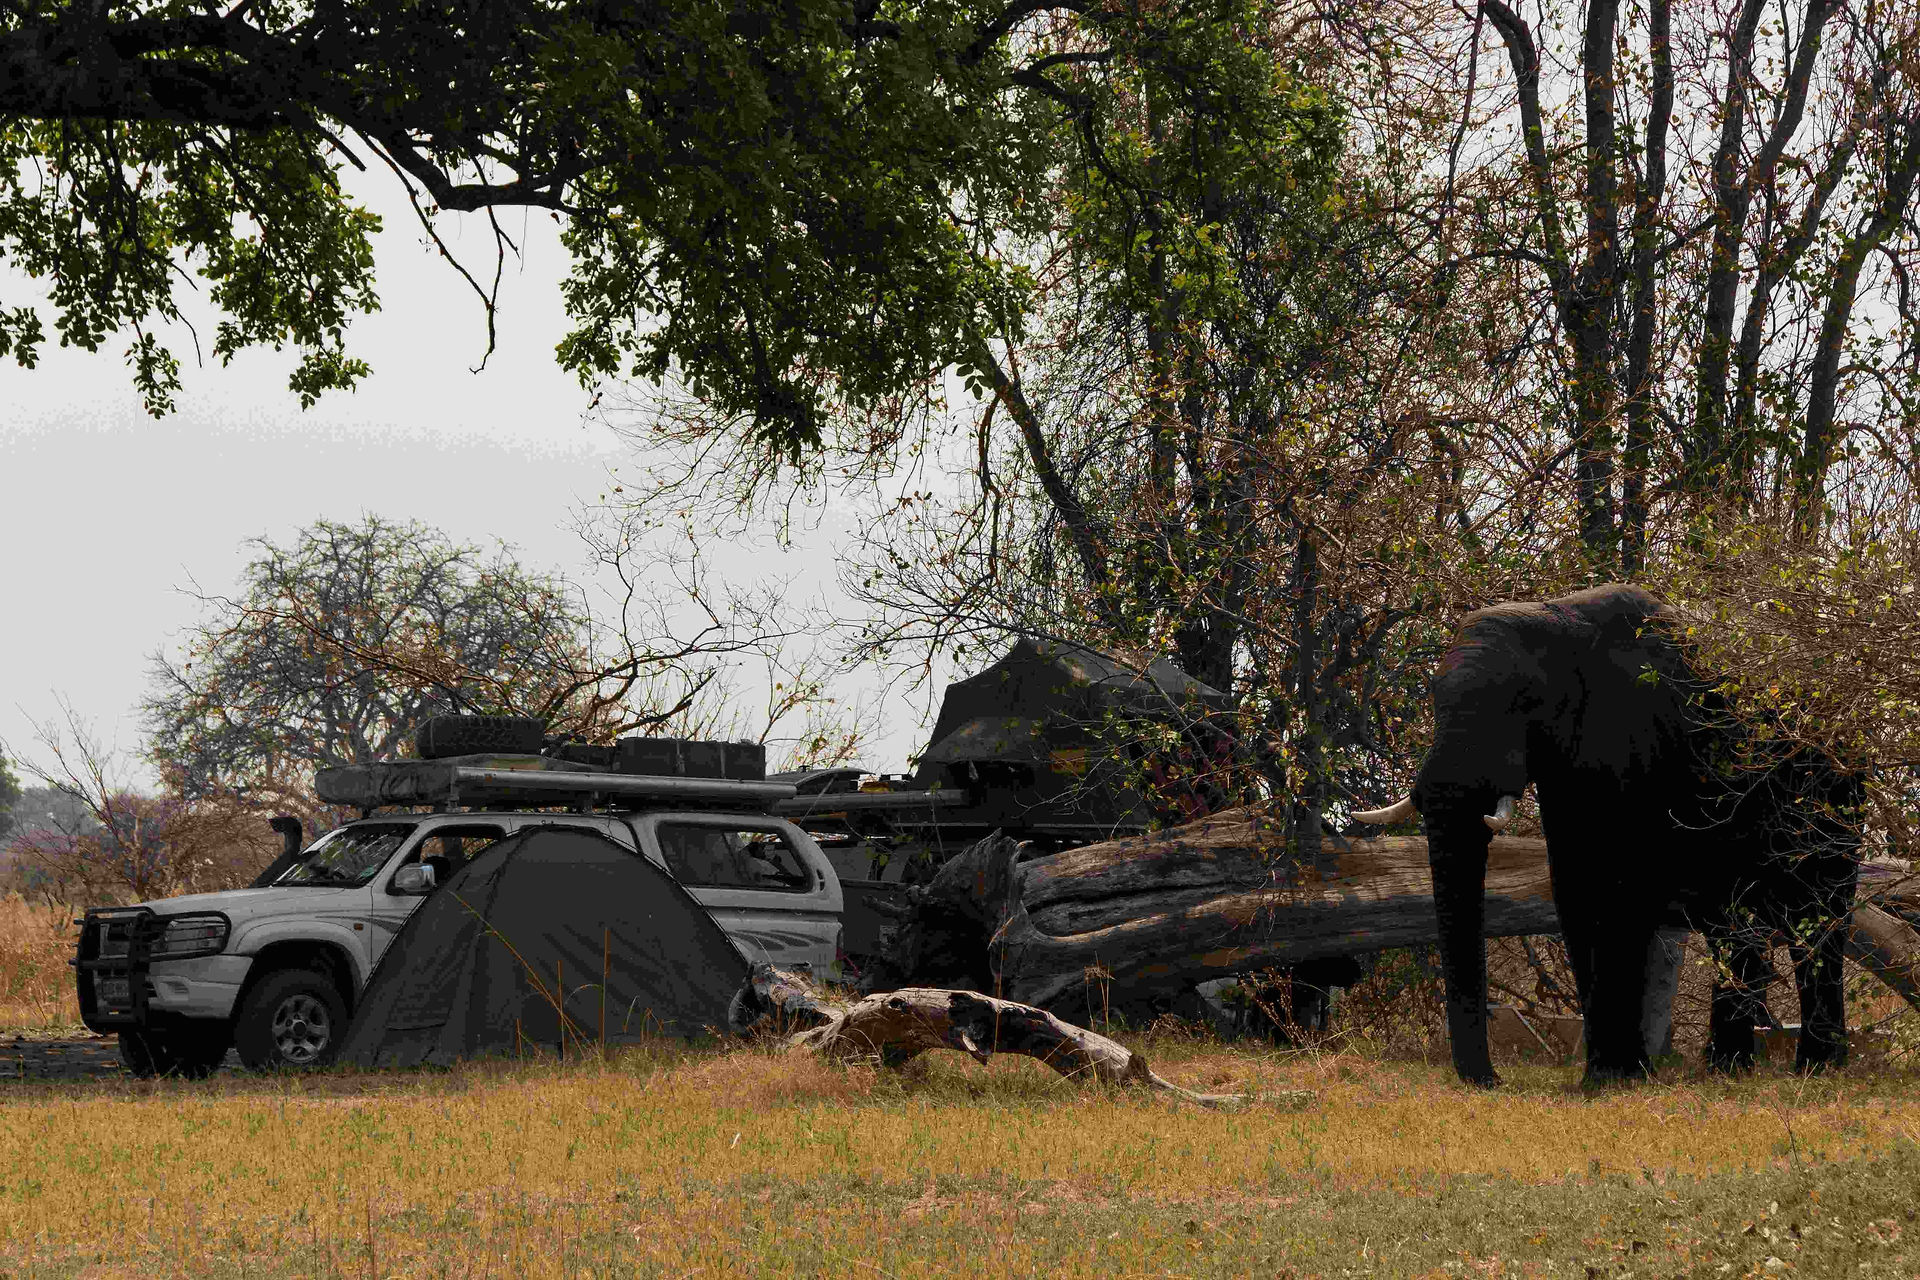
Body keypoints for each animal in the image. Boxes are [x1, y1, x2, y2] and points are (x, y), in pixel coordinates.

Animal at [1357, 584, 1860, 1087]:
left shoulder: (1643, 739)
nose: (1494, 1081)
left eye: (1523, 703)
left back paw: (1817, 1066)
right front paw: (1606, 1074)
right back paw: (1728, 1067)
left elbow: (1625, 891)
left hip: (1830, 792)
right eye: (1433, 696)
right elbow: (1575, 888)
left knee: (1819, 912)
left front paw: (1618, 1078)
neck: (1556, 622)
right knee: (1734, 926)